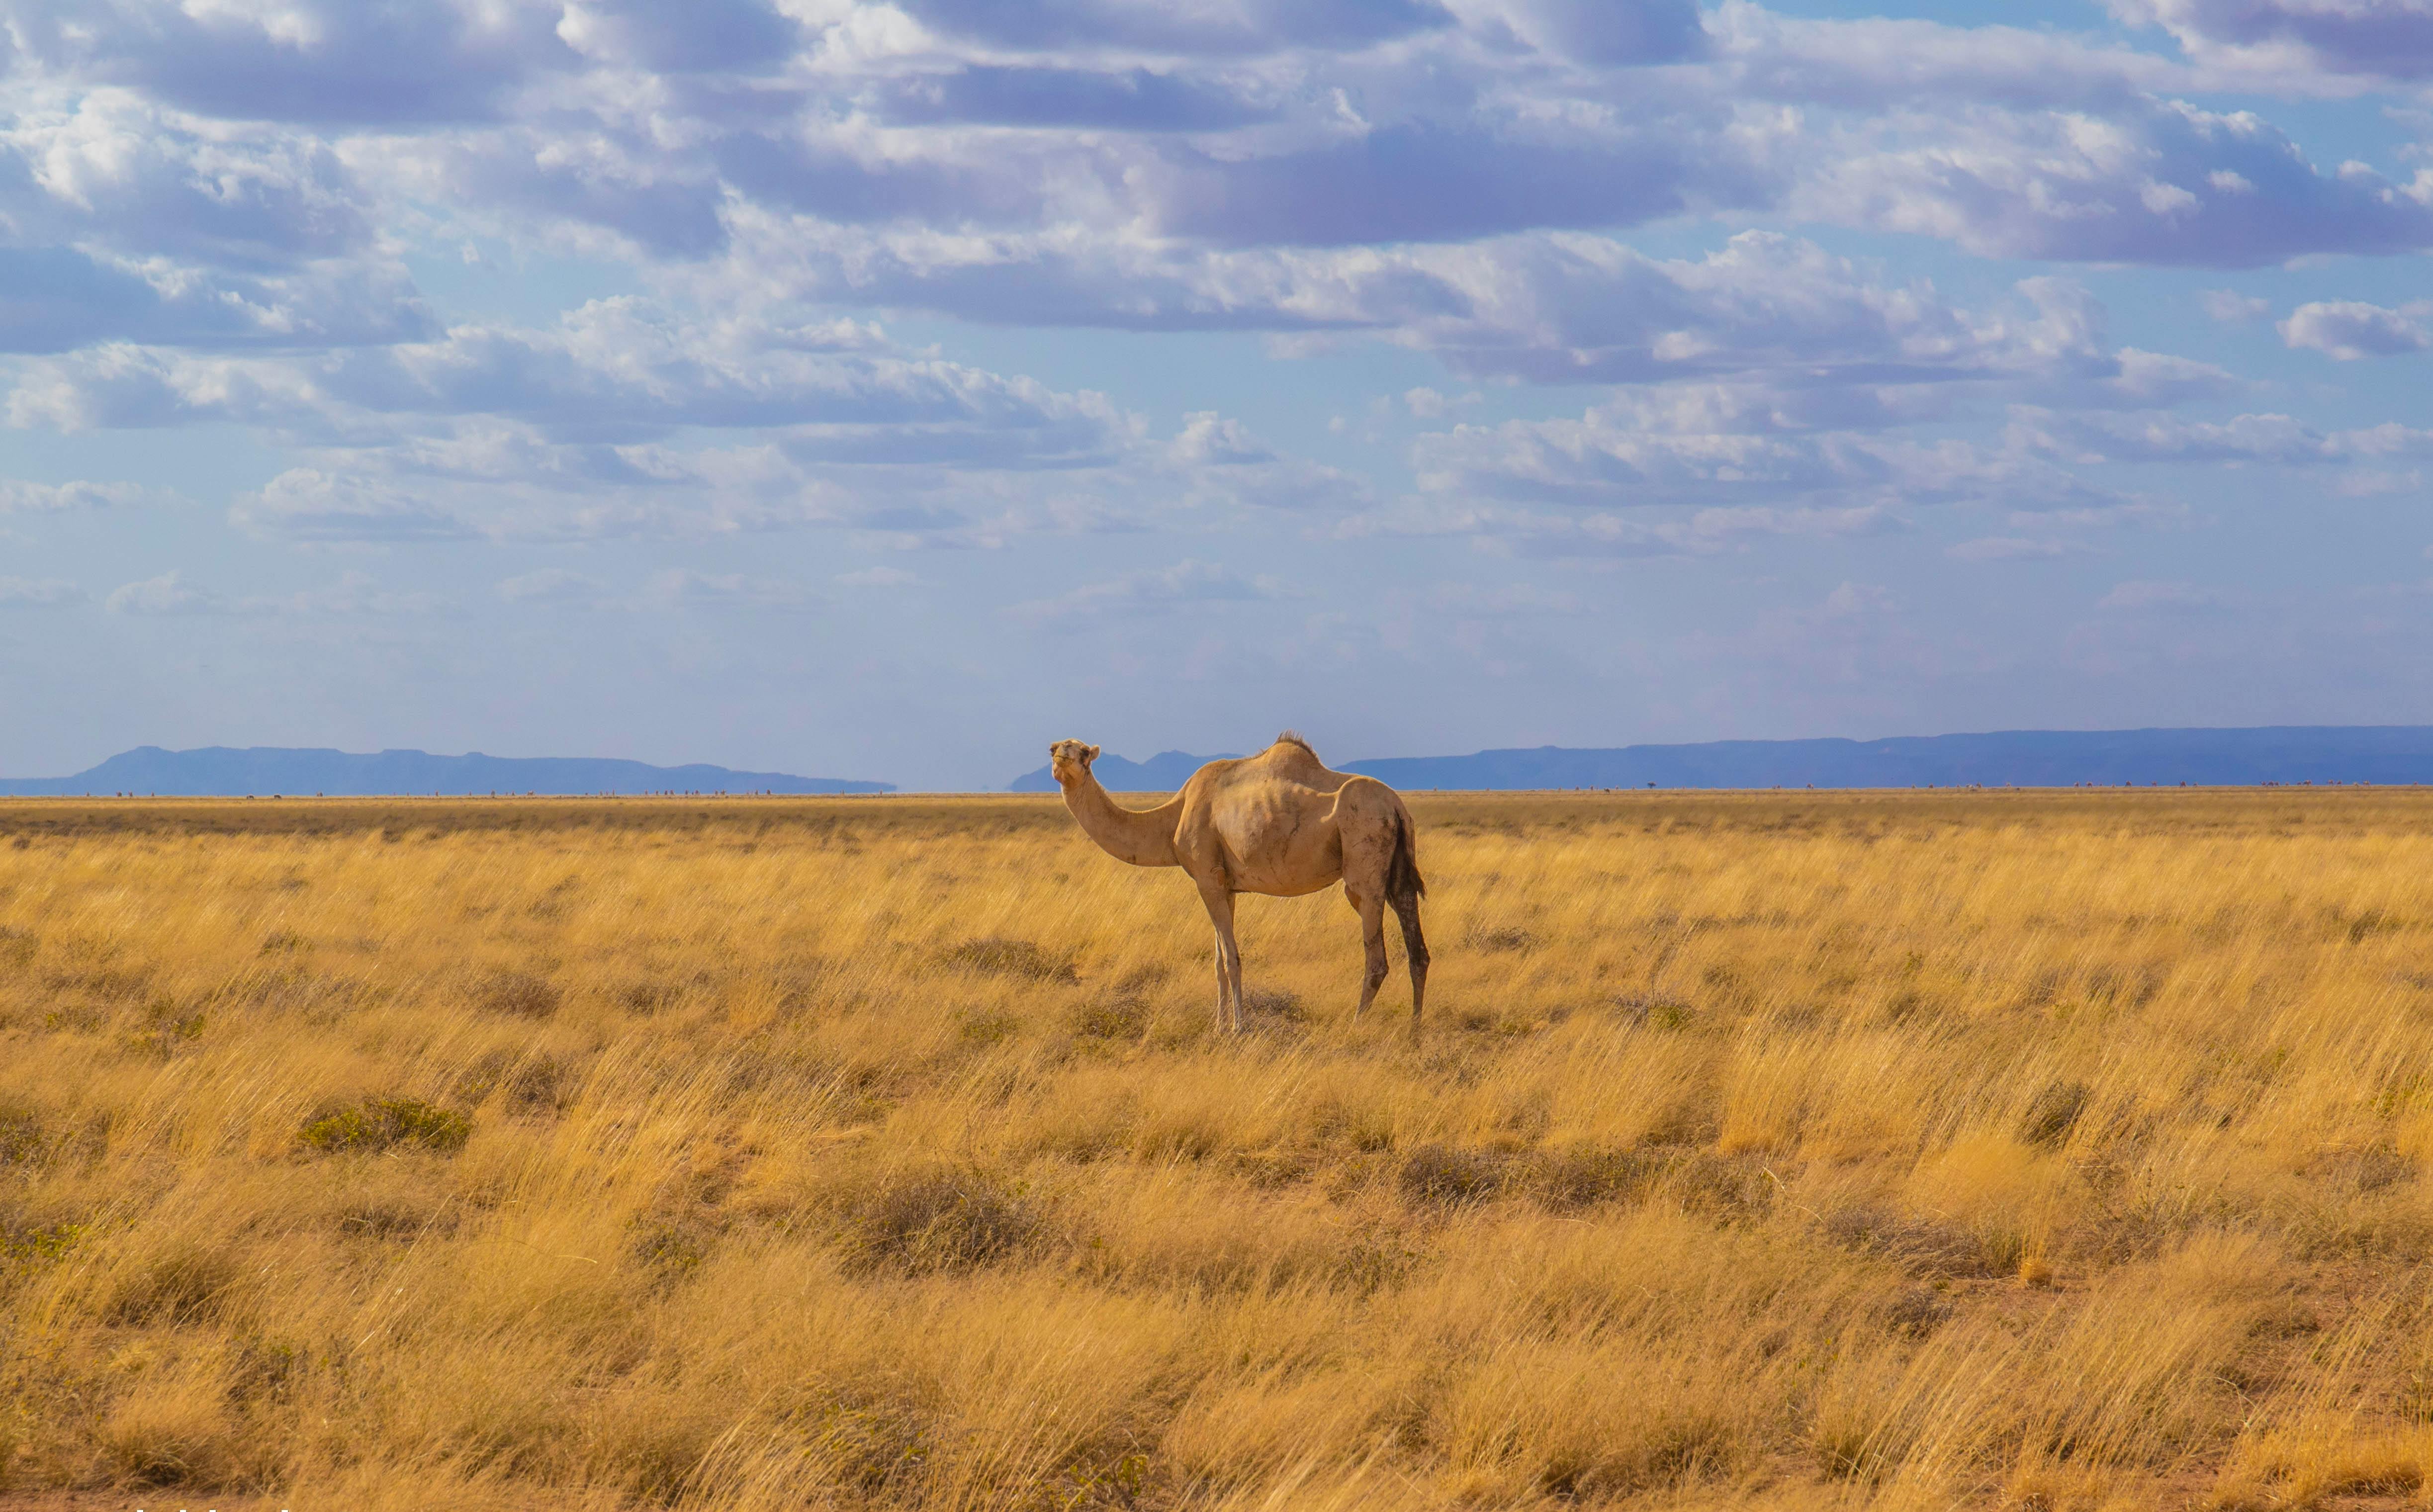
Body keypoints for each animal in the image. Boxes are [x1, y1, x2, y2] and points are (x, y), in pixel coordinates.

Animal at [1047, 733, 1429, 1034]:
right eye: (1054, 746)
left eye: (1084, 751)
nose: (1060, 754)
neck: (1173, 820)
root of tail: (1397, 807)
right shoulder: (1226, 886)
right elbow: (1218, 961)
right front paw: (1219, 1025)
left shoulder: (1207, 878)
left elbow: (1231, 959)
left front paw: (1238, 1028)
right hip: (1397, 872)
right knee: (1418, 950)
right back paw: (1414, 1029)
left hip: (1364, 861)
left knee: (1376, 955)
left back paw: (1354, 1025)